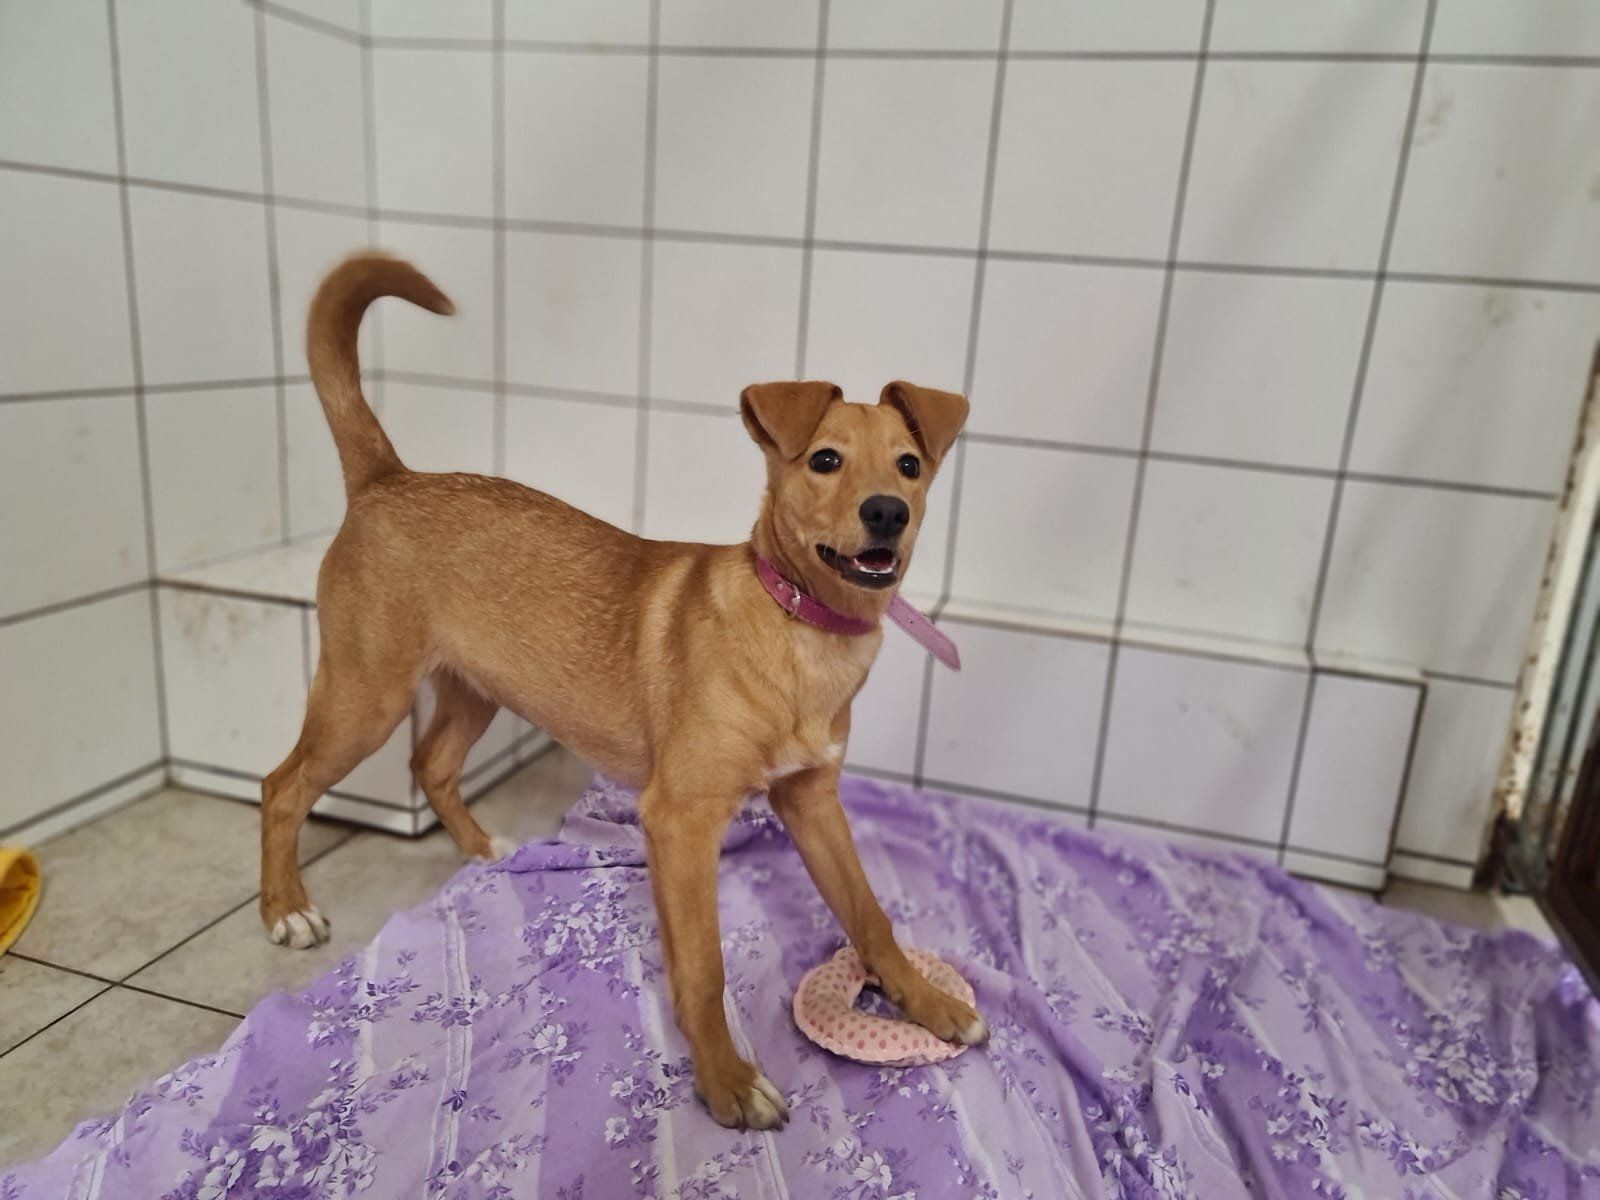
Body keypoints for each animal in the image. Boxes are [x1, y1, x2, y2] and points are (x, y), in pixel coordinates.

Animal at [259, 252, 985, 1130]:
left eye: (909, 466)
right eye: (824, 460)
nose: (887, 513)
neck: (798, 626)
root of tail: (386, 478)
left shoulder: (812, 800)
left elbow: (871, 914)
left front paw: (926, 1001)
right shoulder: (680, 819)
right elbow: (702, 967)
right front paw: (726, 1082)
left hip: (474, 688)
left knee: (430, 762)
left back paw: (485, 853)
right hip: (365, 696)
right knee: (283, 784)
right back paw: (285, 908)